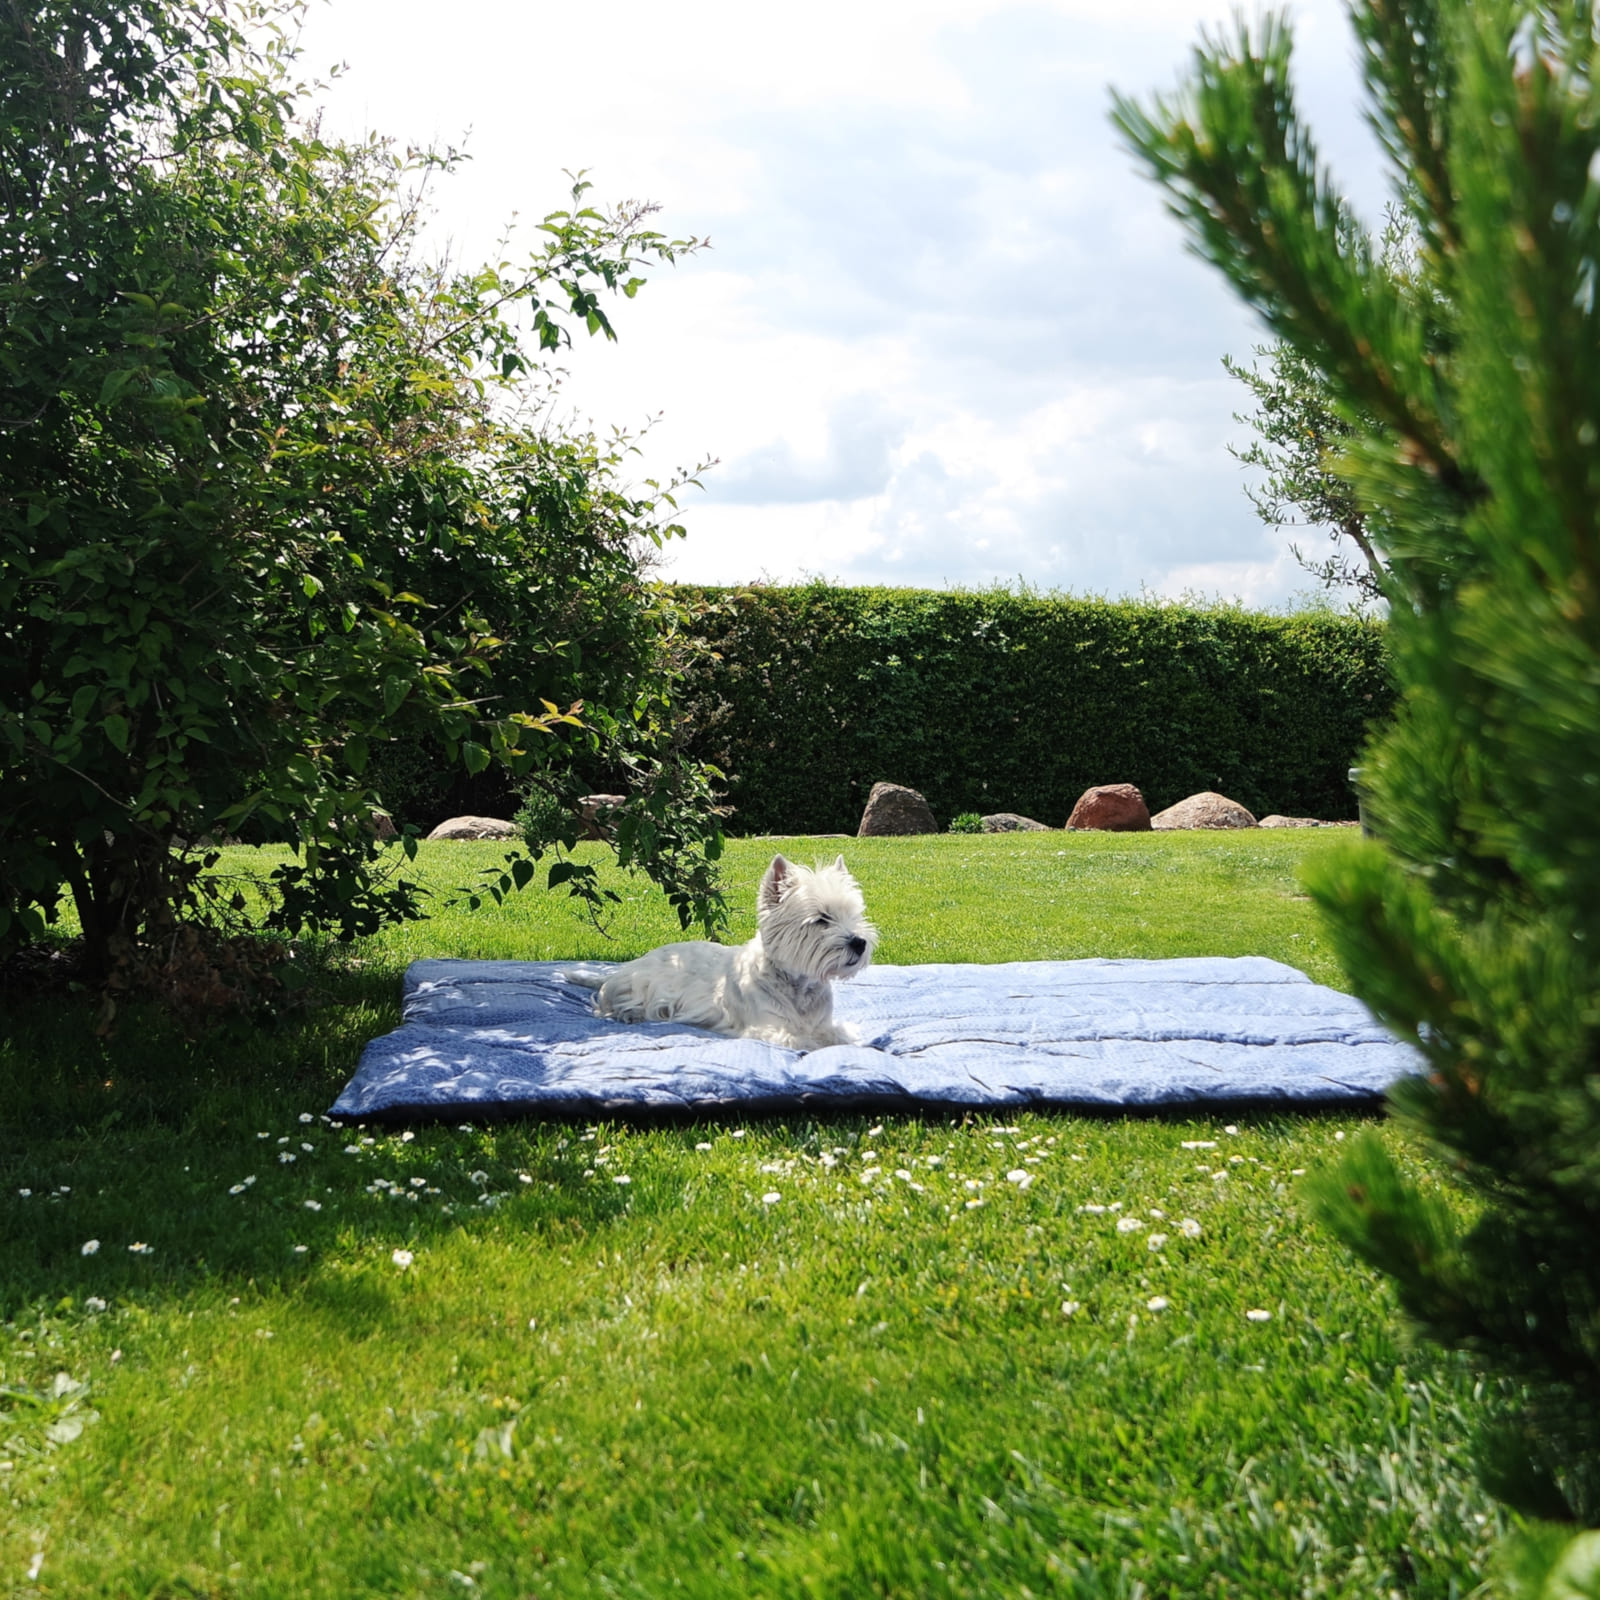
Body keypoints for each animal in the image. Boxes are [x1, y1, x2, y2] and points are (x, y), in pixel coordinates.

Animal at [572, 857, 876, 1056]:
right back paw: (630, 1015)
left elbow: (839, 1035)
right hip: (637, 987)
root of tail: (627, 966)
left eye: (854, 915)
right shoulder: (768, 1028)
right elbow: (803, 1041)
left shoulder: (826, 1024)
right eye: (821, 919)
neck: (798, 986)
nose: (859, 943)